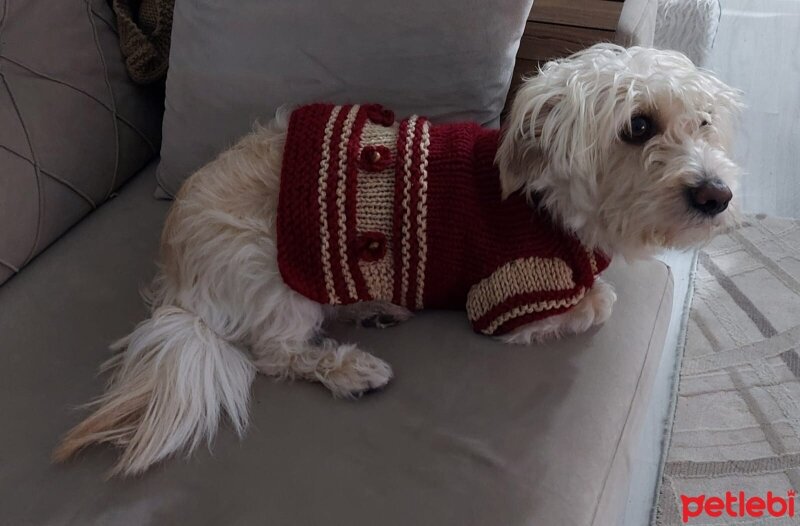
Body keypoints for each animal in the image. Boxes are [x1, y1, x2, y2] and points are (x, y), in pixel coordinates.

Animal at [54, 44, 744, 478]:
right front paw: (597, 292)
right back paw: (352, 368)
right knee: (275, 354)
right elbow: (599, 302)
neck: (543, 199)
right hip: (274, 275)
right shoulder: (506, 299)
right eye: (637, 126)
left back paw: (376, 307)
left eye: (704, 122)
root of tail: (178, 285)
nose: (717, 196)